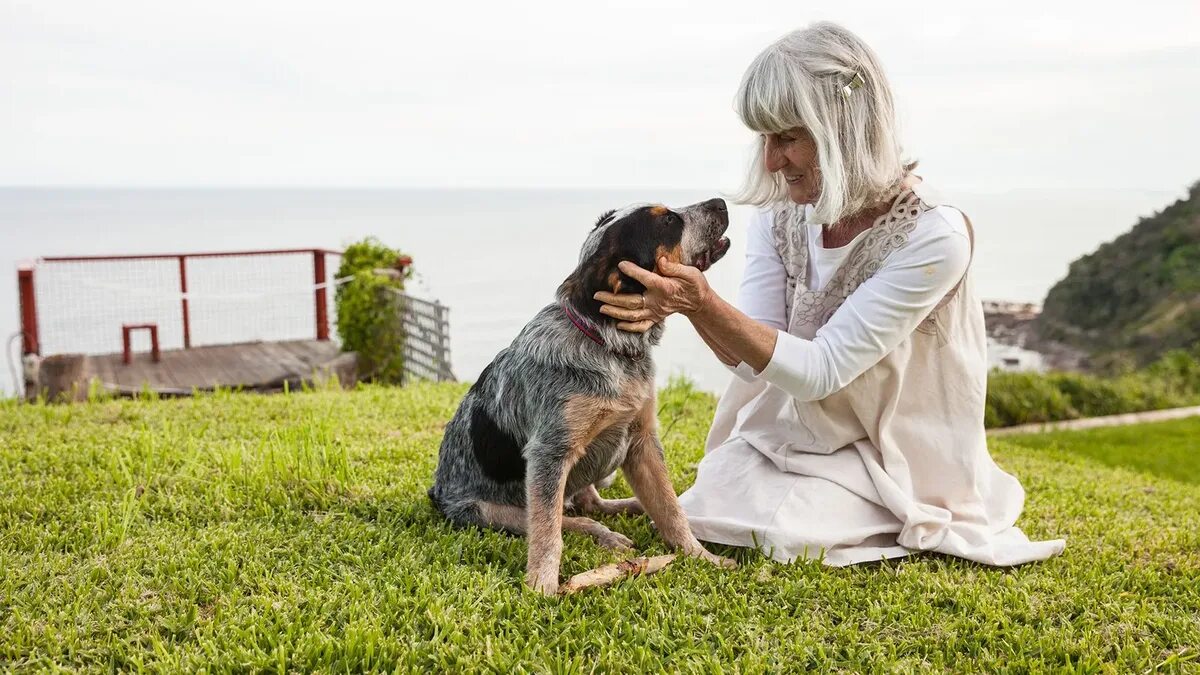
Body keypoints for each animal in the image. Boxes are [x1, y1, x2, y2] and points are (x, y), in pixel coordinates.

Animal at [427, 196, 734, 590]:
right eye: (668, 221)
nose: (721, 202)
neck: (609, 347)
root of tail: (438, 493)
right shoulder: (549, 453)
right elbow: (548, 533)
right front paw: (541, 586)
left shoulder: (643, 442)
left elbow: (670, 510)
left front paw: (702, 556)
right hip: (486, 509)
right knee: (568, 518)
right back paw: (605, 534)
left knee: (590, 503)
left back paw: (628, 507)